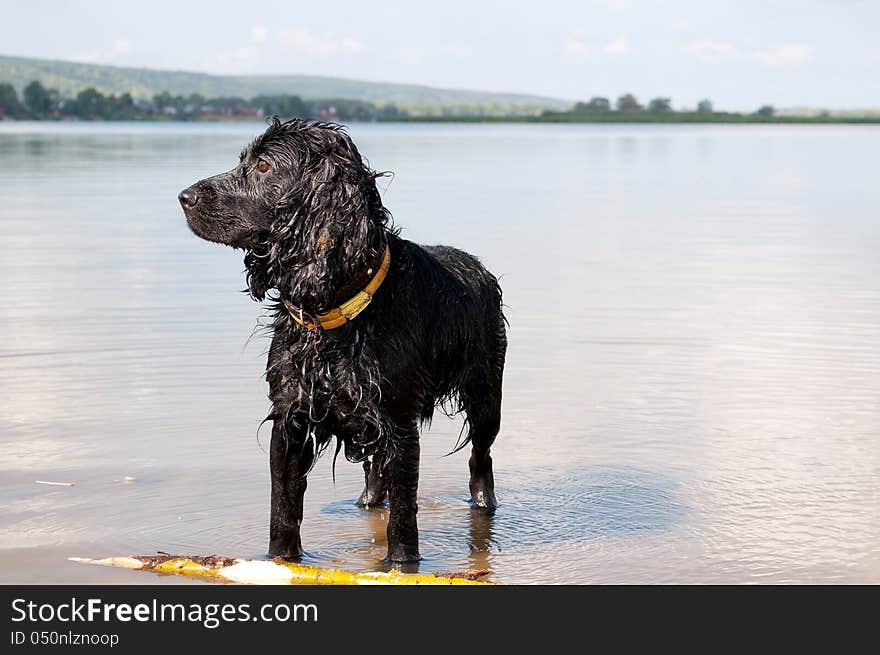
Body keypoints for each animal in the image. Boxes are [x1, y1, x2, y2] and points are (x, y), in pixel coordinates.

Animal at [179, 116, 506, 560]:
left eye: (264, 166)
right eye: (244, 160)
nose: (184, 196)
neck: (334, 314)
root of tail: (481, 268)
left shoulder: (400, 423)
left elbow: (404, 517)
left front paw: (401, 564)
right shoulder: (291, 418)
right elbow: (283, 506)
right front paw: (279, 560)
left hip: (486, 394)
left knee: (480, 455)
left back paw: (484, 504)